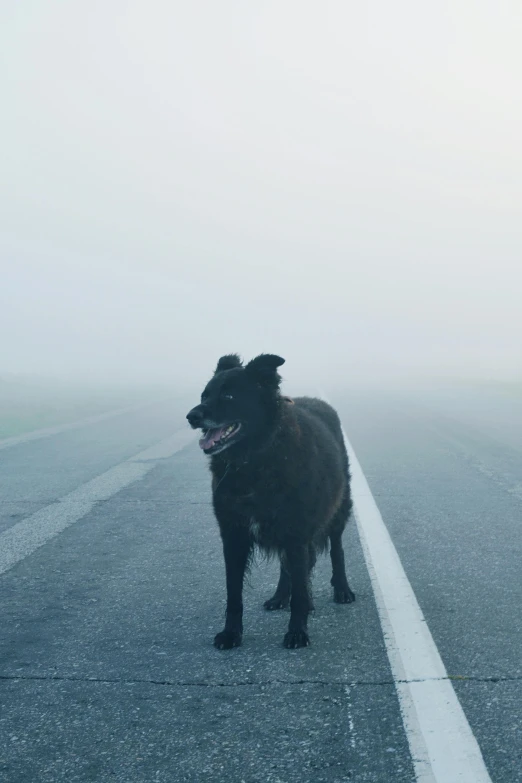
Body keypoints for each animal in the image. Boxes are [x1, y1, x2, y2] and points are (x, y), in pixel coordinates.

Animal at [187, 356, 354, 648]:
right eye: (204, 395)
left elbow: (301, 588)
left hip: (337, 512)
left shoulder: (296, 533)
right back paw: (279, 597)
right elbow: (234, 593)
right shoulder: (234, 535)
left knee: (336, 551)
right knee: (290, 569)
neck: (254, 460)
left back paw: (342, 590)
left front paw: (297, 632)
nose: (191, 416)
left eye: (229, 395)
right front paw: (231, 633)